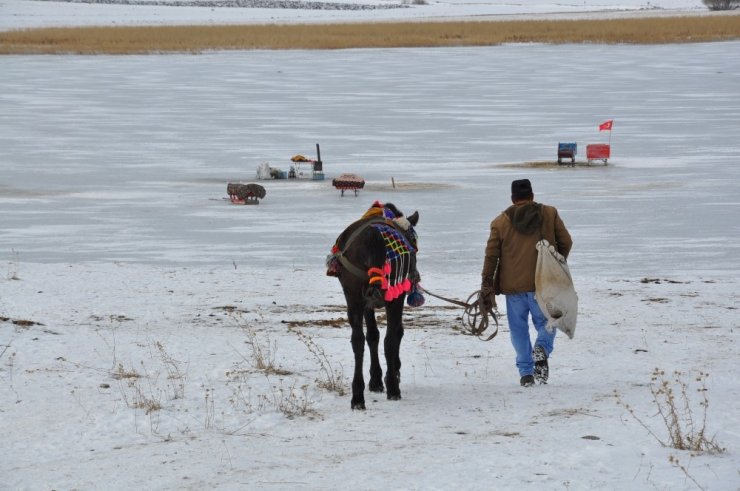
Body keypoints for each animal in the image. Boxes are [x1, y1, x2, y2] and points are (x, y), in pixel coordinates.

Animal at [326, 202, 420, 410]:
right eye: (415, 242)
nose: (416, 275)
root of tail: (372, 237)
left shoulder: (366, 303)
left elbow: (372, 336)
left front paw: (376, 379)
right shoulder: (395, 296)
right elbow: (393, 334)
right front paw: (388, 375)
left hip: (353, 296)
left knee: (358, 340)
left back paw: (357, 396)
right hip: (392, 295)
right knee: (390, 339)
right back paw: (393, 387)